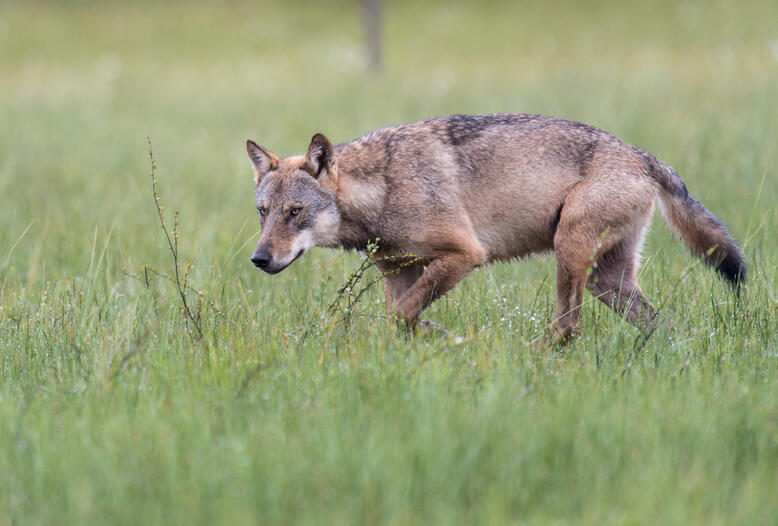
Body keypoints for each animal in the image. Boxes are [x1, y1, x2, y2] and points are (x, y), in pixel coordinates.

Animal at [246, 114, 744, 342]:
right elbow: (402, 317)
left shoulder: (465, 254)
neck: (383, 187)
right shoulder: (398, 271)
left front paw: (448, 339)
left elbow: (403, 314)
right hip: (607, 281)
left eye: (294, 212)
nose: (259, 259)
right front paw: (439, 340)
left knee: (569, 327)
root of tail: (641, 155)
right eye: (263, 212)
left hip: (570, 253)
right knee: (659, 326)